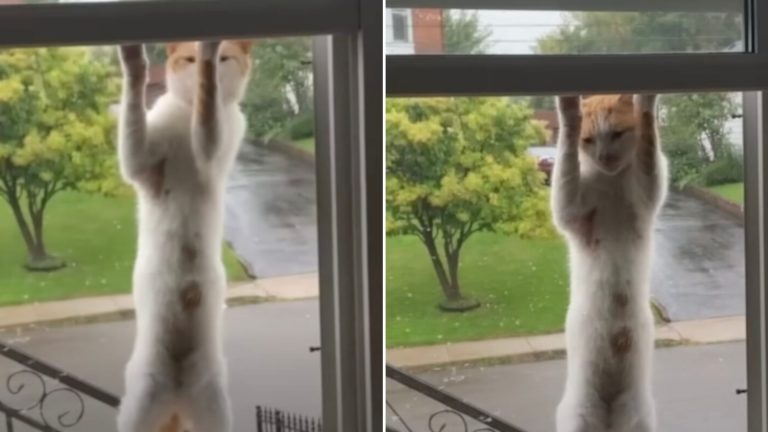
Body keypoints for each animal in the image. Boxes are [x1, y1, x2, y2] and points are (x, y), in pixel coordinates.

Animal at [117, 38, 254, 430]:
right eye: (186, 60)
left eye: (227, 59)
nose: (201, 64)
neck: (185, 118)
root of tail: (177, 400)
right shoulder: (140, 163)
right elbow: (133, 117)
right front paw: (132, 59)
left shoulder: (214, 147)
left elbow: (209, 113)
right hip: (140, 402)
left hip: (215, 409)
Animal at [552, 94, 664, 432]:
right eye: (588, 140)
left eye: (616, 133)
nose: (603, 155)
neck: (610, 181)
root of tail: (610, 415)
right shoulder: (571, 211)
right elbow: (566, 169)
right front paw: (568, 112)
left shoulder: (647, 191)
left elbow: (648, 151)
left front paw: (647, 102)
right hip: (578, 415)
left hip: (639, 416)